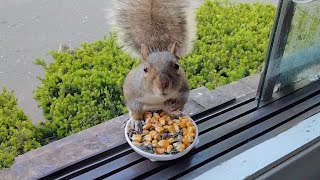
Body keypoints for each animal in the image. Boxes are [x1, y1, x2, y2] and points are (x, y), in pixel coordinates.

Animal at [112, 0, 198, 131]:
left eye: (177, 66)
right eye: (145, 69)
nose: (163, 84)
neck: (157, 96)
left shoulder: (183, 88)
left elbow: (183, 98)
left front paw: (174, 106)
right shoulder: (132, 92)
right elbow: (135, 108)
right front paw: (136, 120)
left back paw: (173, 112)